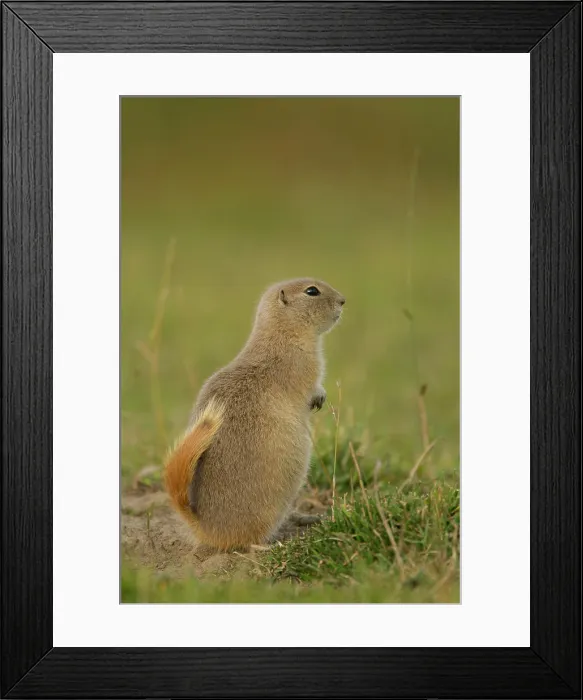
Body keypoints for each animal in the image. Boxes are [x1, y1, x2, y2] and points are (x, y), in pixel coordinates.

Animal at [164, 278, 345, 551]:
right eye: (311, 291)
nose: (343, 300)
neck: (282, 333)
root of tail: (205, 528)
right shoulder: (305, 366)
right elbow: (310, 385)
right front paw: (319, 396)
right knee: (249, 543)